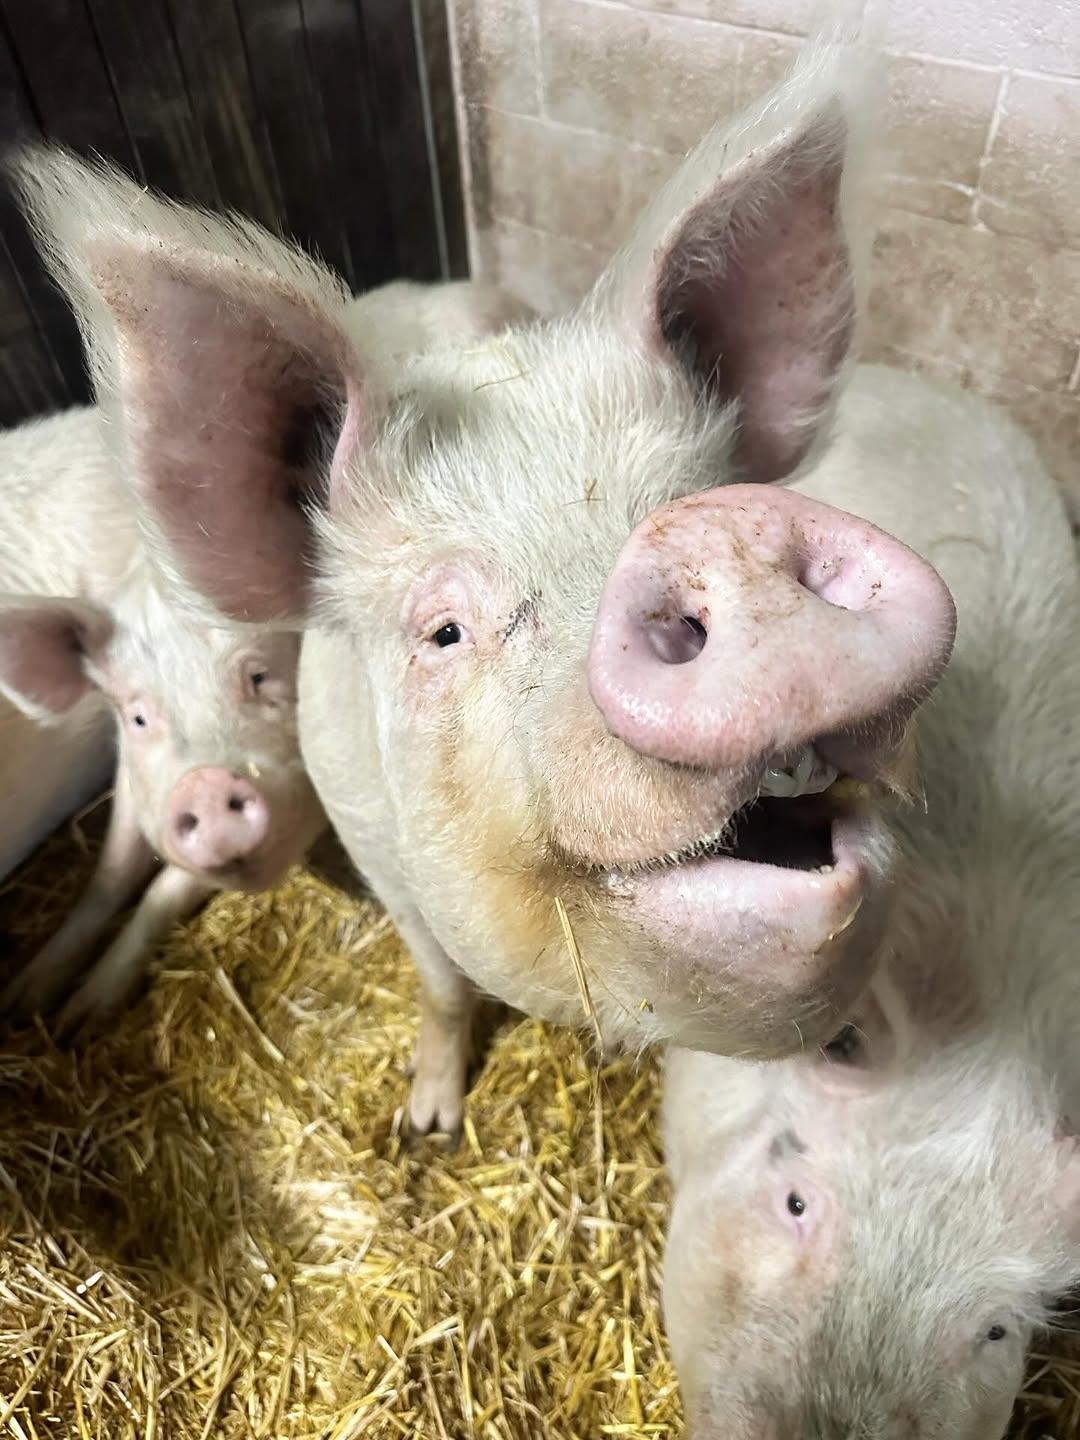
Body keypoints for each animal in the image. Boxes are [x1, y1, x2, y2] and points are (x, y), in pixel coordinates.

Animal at [0, 274, 531, 1022]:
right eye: (138, 713)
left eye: (258, 677)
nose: (206, 784)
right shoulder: (132, 774)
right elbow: (110, 873)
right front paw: (29, 999)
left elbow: (161, 887)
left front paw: (84, 1013)